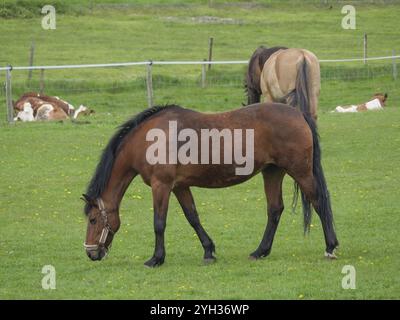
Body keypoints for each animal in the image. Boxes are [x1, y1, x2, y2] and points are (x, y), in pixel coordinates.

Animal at [81, 103, 338, 268]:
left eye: (93, 220)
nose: (91, 253)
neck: (149, 139)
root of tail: (298, 113)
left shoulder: (161, 185)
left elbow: (159, 223)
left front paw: (156, 259)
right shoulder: (179, 187)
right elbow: (192, 217)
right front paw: (208, 251)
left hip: (300, 172)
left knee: (318, 202)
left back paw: (331, 247)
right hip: (272, 172)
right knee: (275, 210)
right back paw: (260, 251)